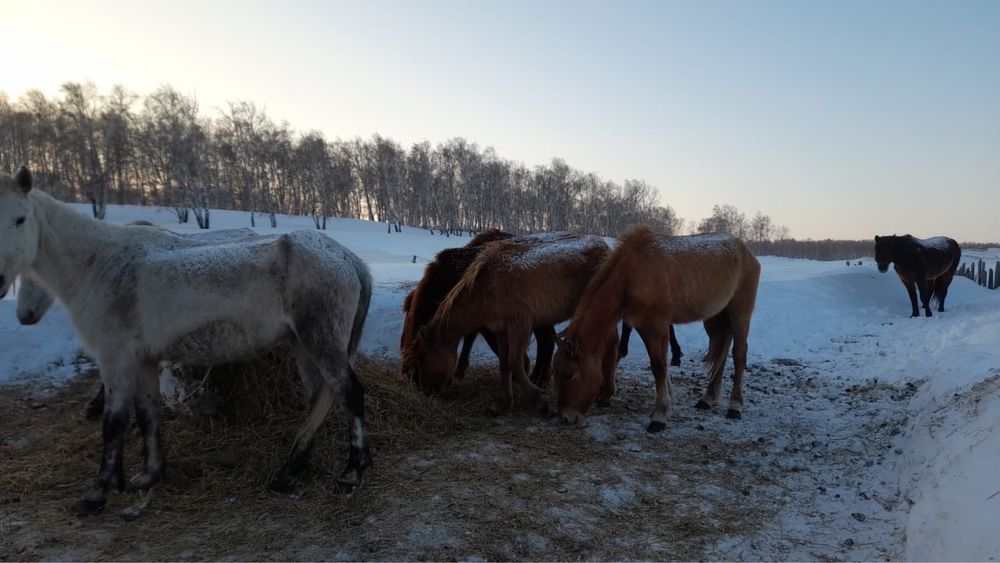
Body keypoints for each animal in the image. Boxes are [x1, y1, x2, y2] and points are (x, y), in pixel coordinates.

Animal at [414, 234, 608, 414]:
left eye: (422, 357)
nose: (426, 391)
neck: (487, 288)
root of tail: (603, 244)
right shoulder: (500, 331)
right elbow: (504, 364)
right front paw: (504, 402)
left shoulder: (520, 325)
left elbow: (514, 363)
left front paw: (537, 400)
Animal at [556, 227, 756, 434]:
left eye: (568, 375)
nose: (565, 417)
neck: (633, 273)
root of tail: (746, 251)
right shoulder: (642, 326)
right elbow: (661, 366)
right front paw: (666, 407)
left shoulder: (656, 326)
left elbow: (658, 367)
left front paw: (660, 415)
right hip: (714, 317)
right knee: (721, 353)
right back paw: (708, 399)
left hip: (739, 313)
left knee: (739, 354)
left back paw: (735, 406)